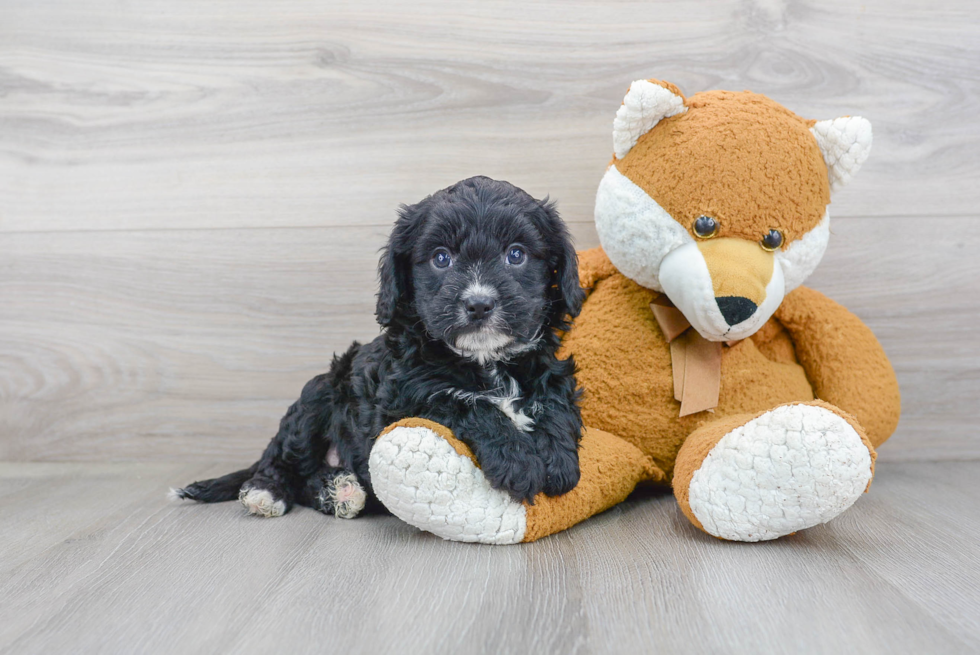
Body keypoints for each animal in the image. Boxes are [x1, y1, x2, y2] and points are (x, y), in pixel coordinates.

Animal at [172, 177, 584, 520]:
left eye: (516, 254)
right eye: (441, 258)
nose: (479, 304)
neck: (487, 361)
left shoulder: (549, 370)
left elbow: (555, 399)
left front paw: (558, 457)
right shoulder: (402, 401)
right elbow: (465, 404)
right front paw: (519, 461)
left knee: (310, 479)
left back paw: (340, 491)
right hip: (318, 394)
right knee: (284, 460)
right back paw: (268, 491)